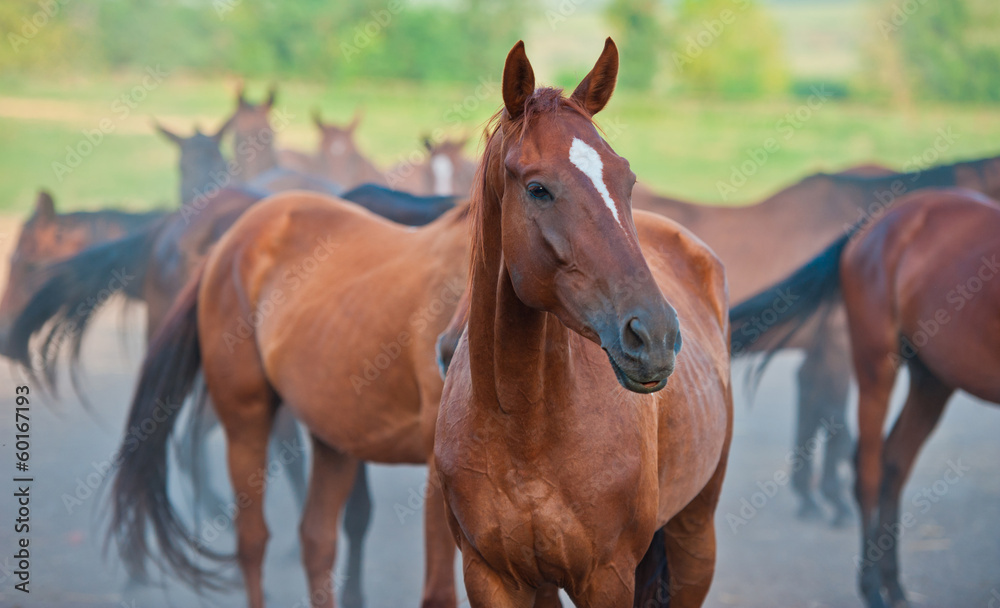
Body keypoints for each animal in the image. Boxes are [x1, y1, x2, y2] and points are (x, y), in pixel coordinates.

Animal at [434, 39, 732, 608]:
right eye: (537, 189)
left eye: (626, 179)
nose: (655, 335)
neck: (523, 428)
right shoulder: (489, 575)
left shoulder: (607, 577)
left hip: (695, 532)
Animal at [628, 152, 1000, 525]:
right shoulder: (838, 345)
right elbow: (832, 417)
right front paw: (834, 497)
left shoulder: (820, 352)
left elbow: (814, 410)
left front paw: (811, 494)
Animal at [728, 187, 1000, 608]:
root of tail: (882, 218)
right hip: (875, 365)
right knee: (868, 468)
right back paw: (873, 588)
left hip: (933, 378)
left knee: (894, 463)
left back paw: (895, 587)